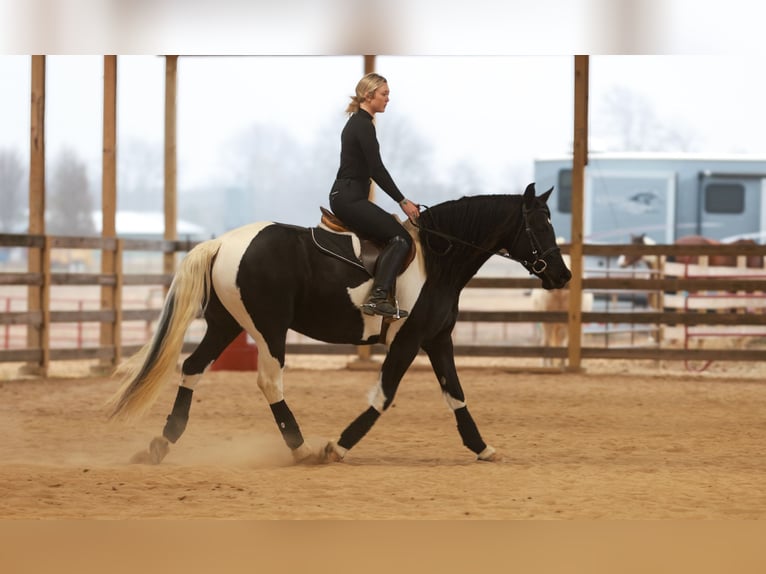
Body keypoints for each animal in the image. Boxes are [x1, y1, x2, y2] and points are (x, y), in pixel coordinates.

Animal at [106, 183, 572, 465]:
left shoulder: (438, 338)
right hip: (268, 329)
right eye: (539, 224)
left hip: (226, 325)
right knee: (269, 382)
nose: (562, 275)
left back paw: (162, 443)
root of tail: (223, 243)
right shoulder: (410, 339)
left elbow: (455, 394)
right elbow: (384, 395)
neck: (438, 258)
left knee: (193, 368)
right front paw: (340, 445)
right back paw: (301, 449)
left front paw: (482, 447)